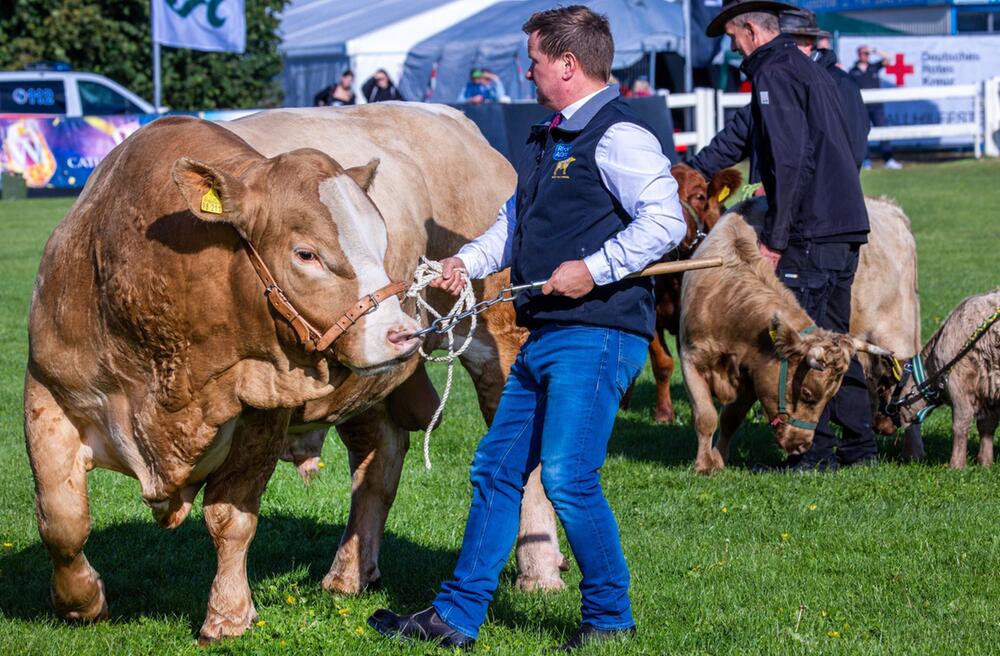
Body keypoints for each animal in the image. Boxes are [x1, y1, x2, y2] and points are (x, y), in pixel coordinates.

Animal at [892, 290, 1000, 468]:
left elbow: (961, 425)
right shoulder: (989, 388)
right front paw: (985, 463)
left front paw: (956, 466)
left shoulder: (958, 384)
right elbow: (987, 425)